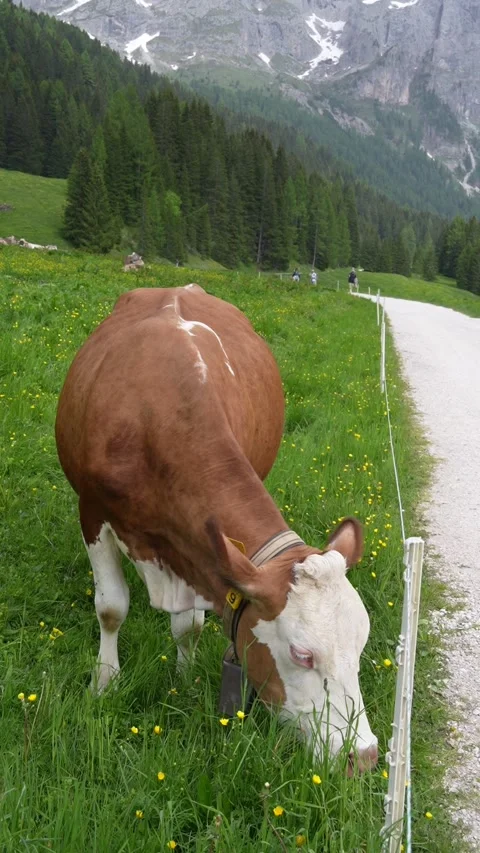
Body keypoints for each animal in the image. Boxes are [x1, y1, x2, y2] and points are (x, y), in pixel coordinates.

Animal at [55, 284, 378, 770]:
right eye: (302, 655)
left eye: (361, 643)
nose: (364, 756)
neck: (157, 415)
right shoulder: (92, 511)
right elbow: (111, 607)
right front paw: (104, 682)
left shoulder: (200, 548)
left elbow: (188, 626)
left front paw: (184, 676)